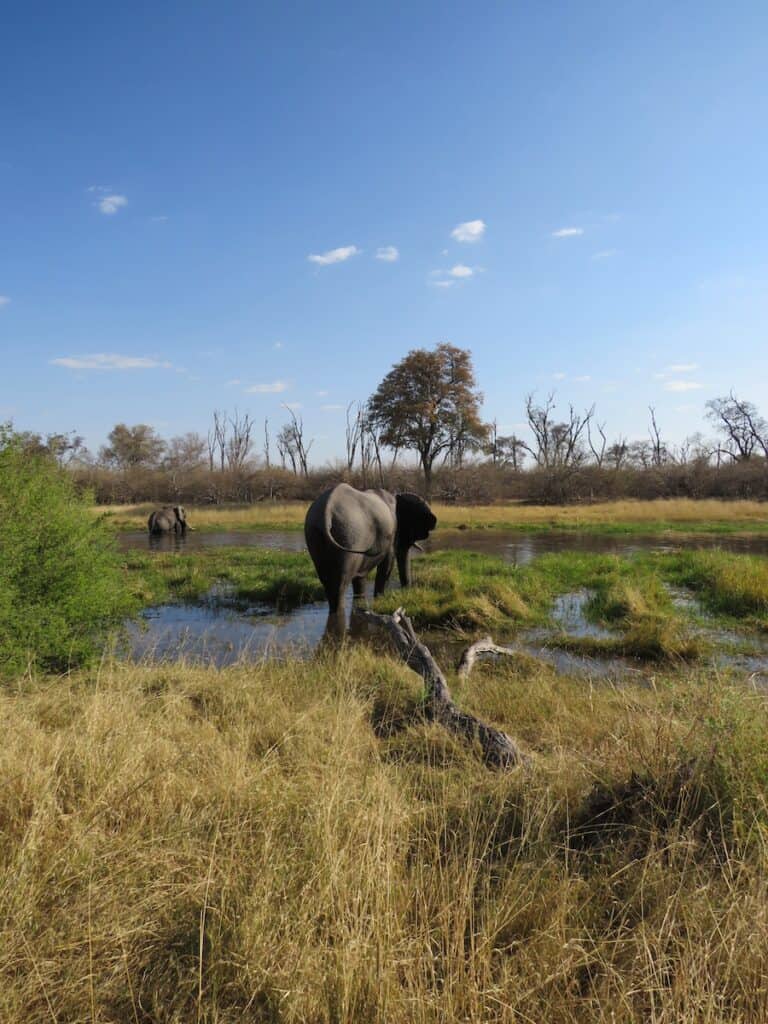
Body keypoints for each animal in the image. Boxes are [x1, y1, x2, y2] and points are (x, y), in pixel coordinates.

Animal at [307, 481, 438, 610]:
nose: (407, 592)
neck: (397, 496)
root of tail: (326, 512)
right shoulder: (392, 533)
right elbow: (387, 564)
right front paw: (380, 600)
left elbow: (360, 575)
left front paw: (361, 605)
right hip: (349, 535)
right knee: (341, 584)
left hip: (317, 534)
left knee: (327, 582)